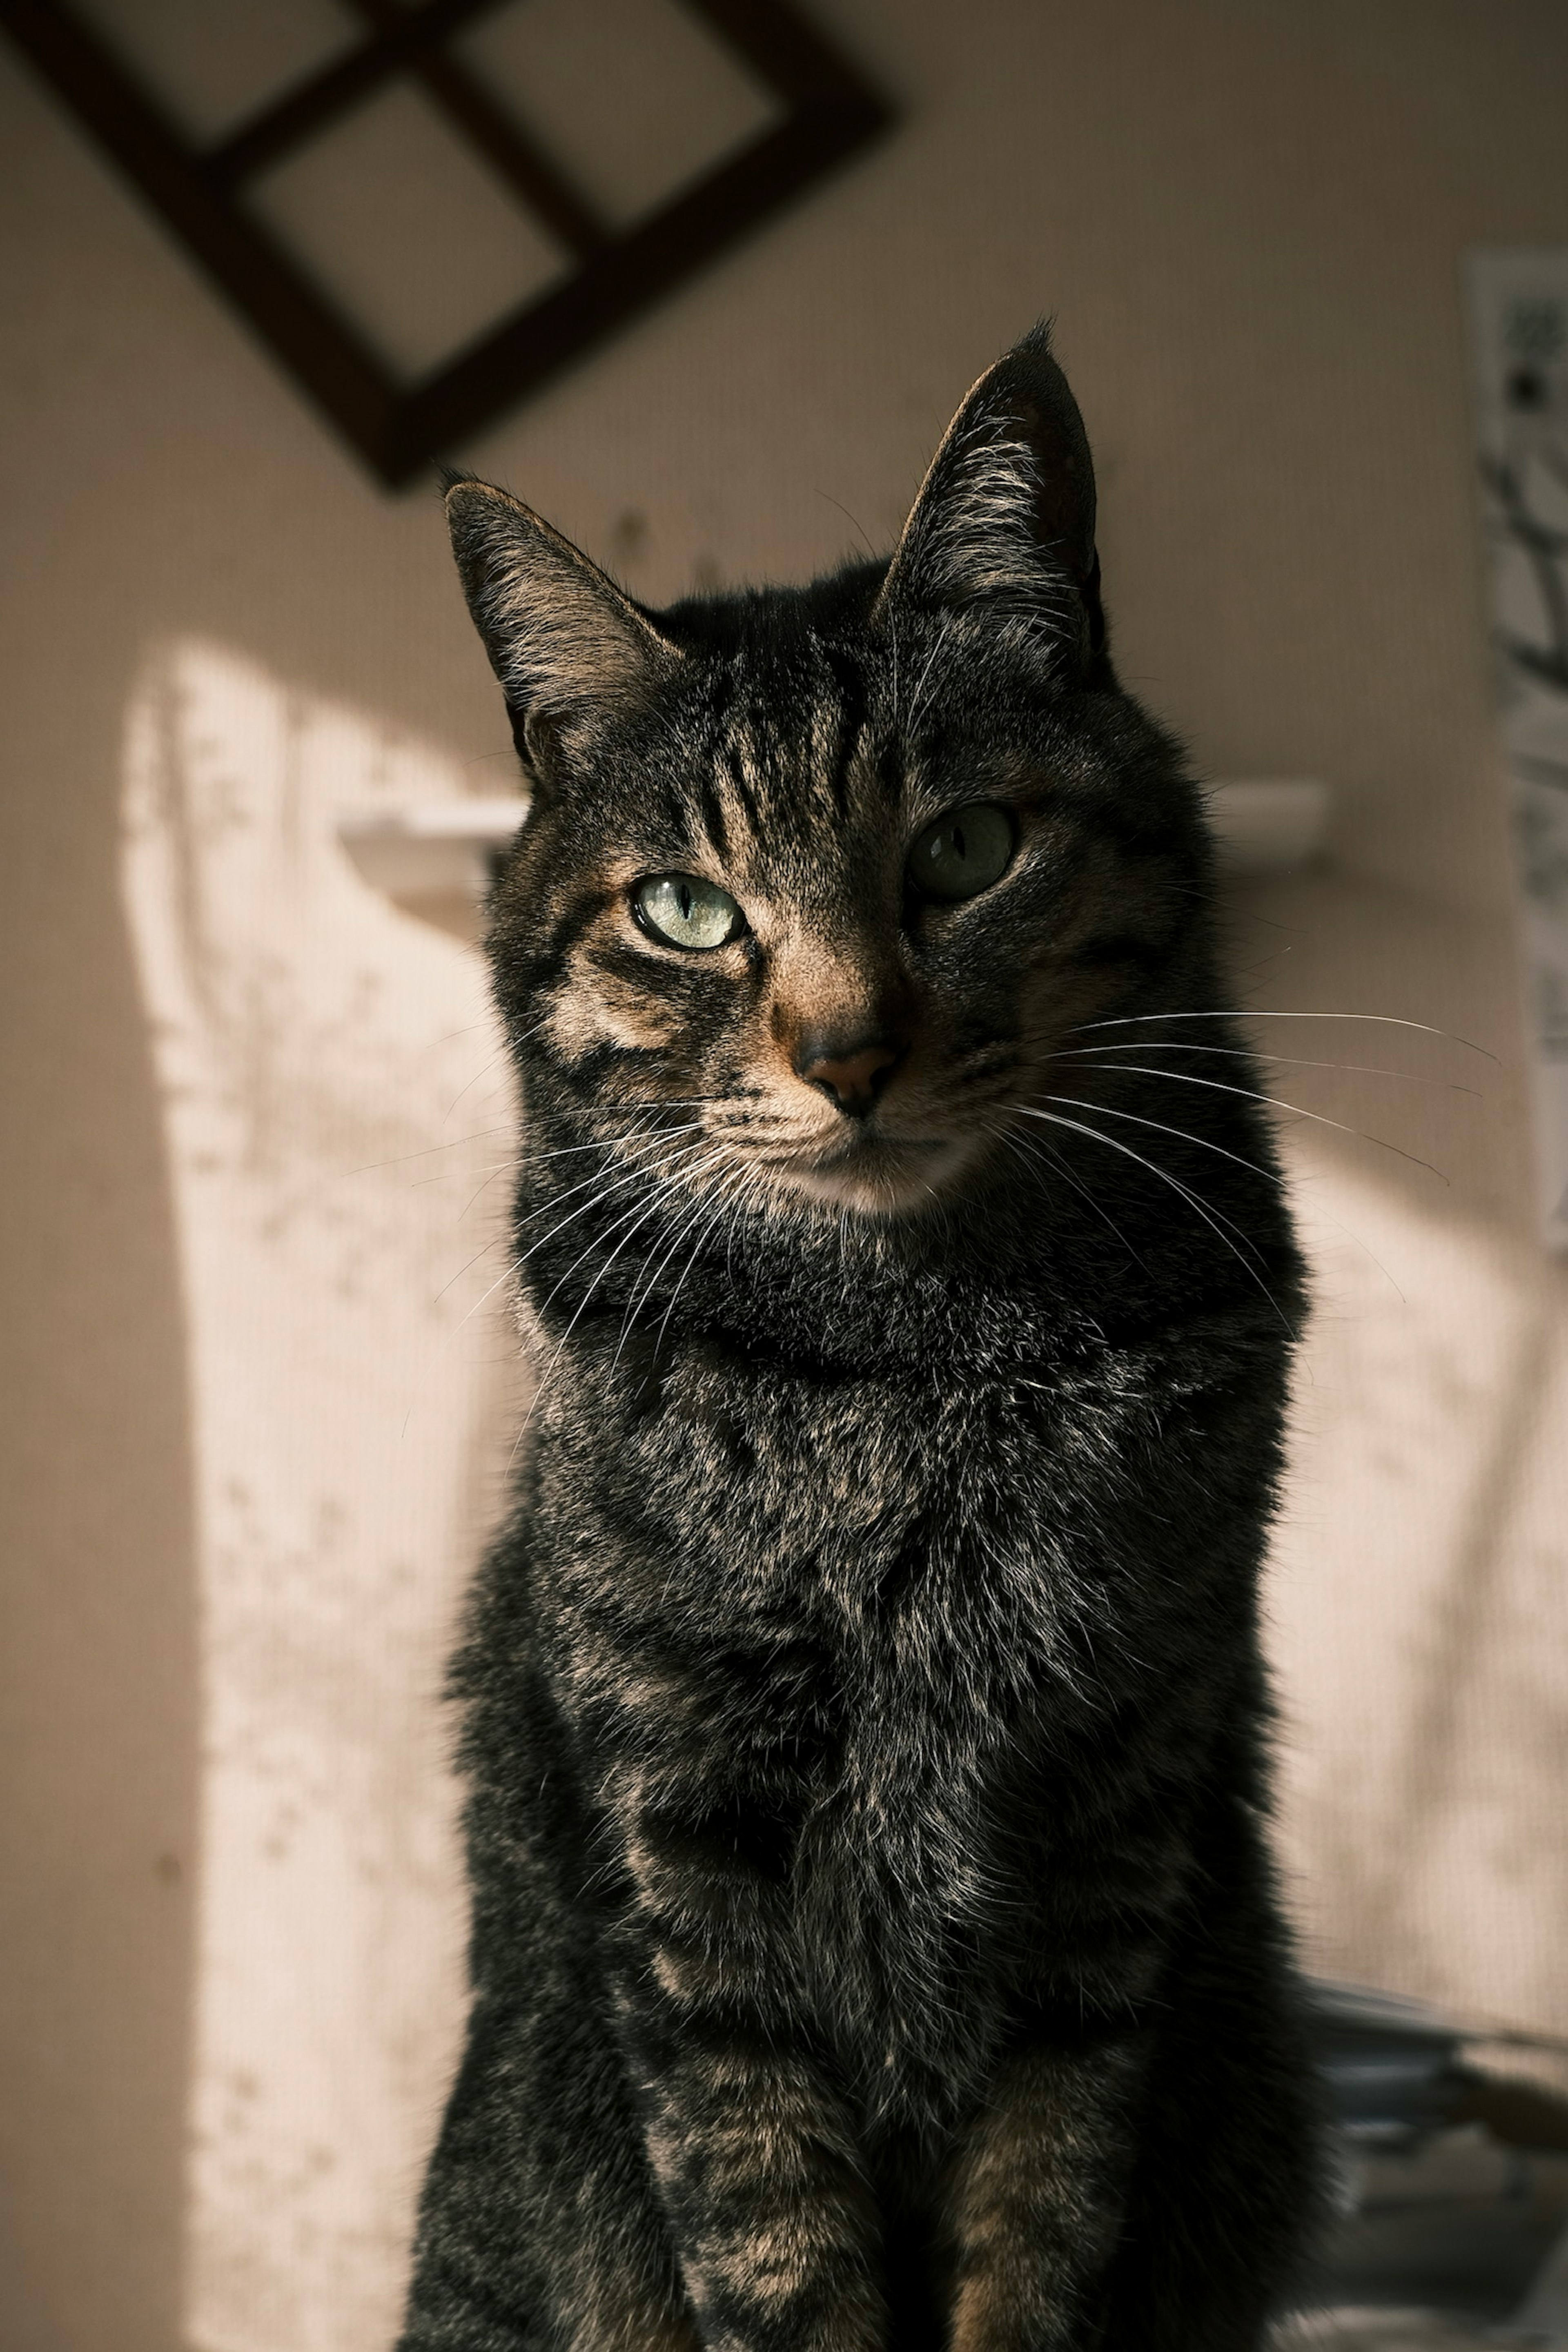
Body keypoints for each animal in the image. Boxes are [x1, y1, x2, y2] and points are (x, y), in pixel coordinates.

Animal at [404, 332, 1326, 2352]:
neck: (923, 1367)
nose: (846, 1054)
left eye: (967, 849)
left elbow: (1042, 2218)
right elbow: (766, 2237)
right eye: (687, 908)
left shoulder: (1111, 1816)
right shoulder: (686, 1837)